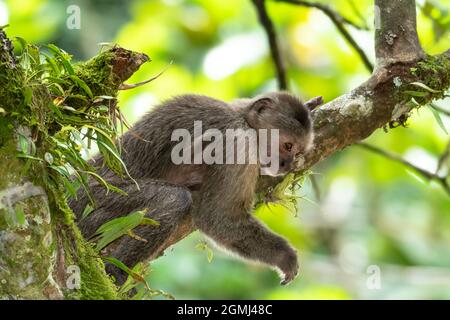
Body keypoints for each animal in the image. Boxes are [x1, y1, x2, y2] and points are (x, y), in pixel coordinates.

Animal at [70, 92, 312, 284]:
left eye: (298, 152)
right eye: (287, 145)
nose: (286, 164)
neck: (243, 119)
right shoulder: (239, 143)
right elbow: (218, 217)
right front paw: (284, 256)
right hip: (92, 200)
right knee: (175, 198)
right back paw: (114, 271)